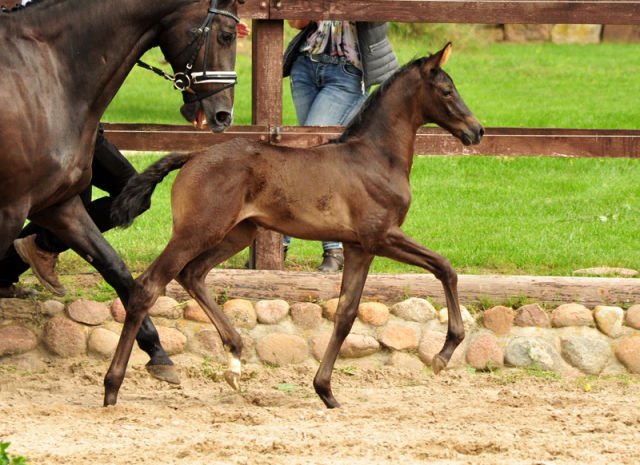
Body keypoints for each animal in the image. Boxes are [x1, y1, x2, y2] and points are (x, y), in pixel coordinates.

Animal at [0, 0, 242, 382]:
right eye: (227, 35)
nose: (223, 115)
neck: (49, 76)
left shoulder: (59, 205)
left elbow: (114, 266)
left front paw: (157, 353)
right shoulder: (9, 209)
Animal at [106, 42, 484, 406]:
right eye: (447, 90)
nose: (477, 130)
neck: (376, 157)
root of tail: (193, 156)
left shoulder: (358, 247)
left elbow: (346, 315)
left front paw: (325, 390)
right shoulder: (381, 236)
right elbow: (445, 267)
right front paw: (445, 353)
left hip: (238, 234)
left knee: (192, 274)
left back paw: (235, 360)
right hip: (197, 232)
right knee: (148, 286)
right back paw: (113, 387)